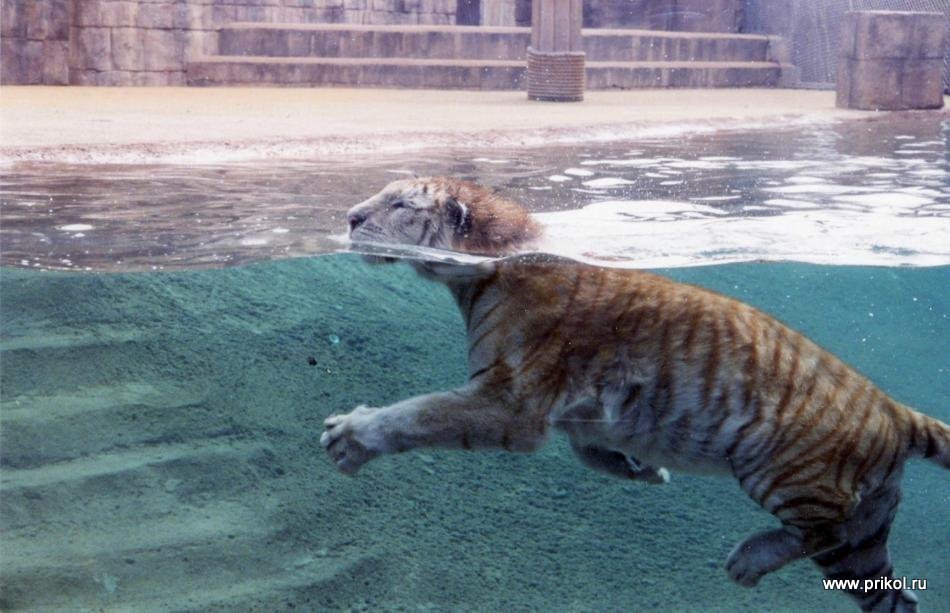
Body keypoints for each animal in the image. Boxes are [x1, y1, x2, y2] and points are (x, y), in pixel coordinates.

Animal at [320, 176, 949, 612]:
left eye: (400, 205)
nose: (349, 217)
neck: (478, 270)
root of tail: (896, 409)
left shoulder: (508, 401)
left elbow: (419, 414)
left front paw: (349, 436)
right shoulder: (570, 410)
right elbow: (586, 449)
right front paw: (641, 469)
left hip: (784, 473)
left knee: (823, 527)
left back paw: (748, 561)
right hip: (863, 548)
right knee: (892, 593)